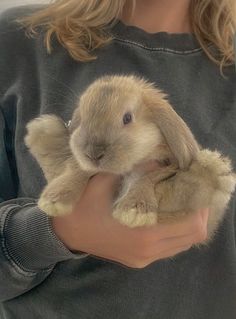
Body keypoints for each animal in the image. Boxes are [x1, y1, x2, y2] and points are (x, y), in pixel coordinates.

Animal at [24, 74, 236, 242]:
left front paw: (133, 211)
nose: (93, 154)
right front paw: (54, 201)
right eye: (82, 119)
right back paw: (43, 133)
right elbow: (78, 170)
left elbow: (148, 178)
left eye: (127, 118)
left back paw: (212, 172)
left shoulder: (166, 166)